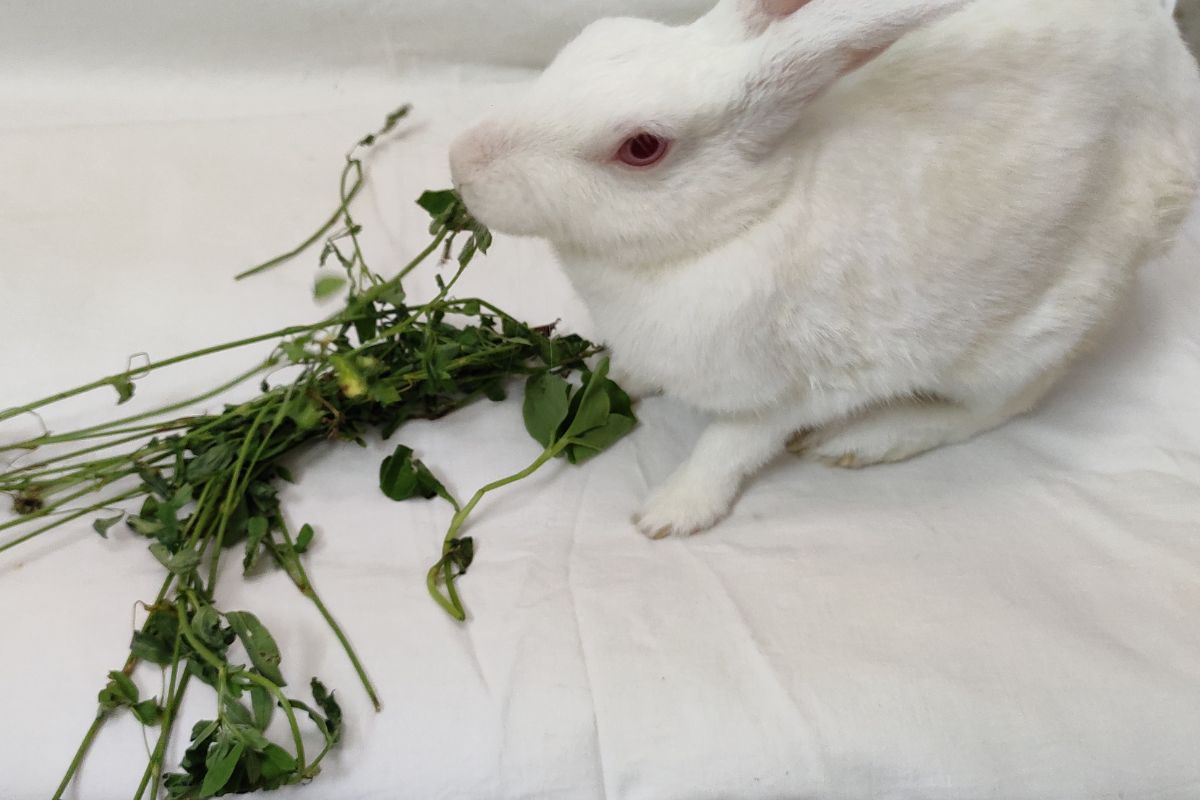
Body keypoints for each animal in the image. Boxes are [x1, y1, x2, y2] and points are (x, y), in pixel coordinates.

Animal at [448, 0, 1200, 539]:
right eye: (591, 37)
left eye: (641, 147)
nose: (461, 162)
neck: (747, 216)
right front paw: (622, 378)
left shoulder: (790, 392)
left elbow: (726, 448)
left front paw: (669, 513)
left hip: (1030, 331)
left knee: (1001, 405)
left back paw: (868, 441)